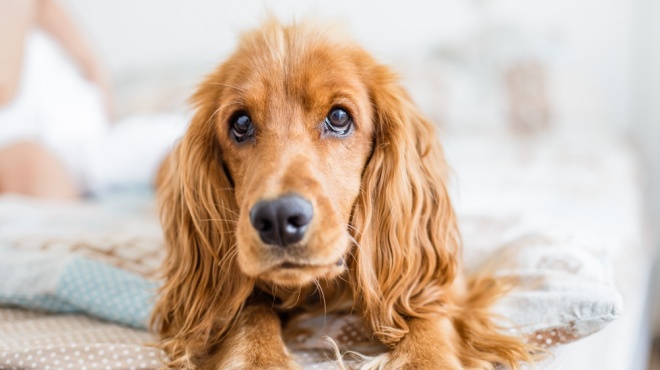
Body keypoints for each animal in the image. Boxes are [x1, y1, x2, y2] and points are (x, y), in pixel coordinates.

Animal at [151, 18, 536, 370]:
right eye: (241, 124)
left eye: (338, 117)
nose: (277, 218)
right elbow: (248, 311)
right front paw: (260, 357)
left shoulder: (435, 279)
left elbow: (427, 309)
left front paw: (425, 356)